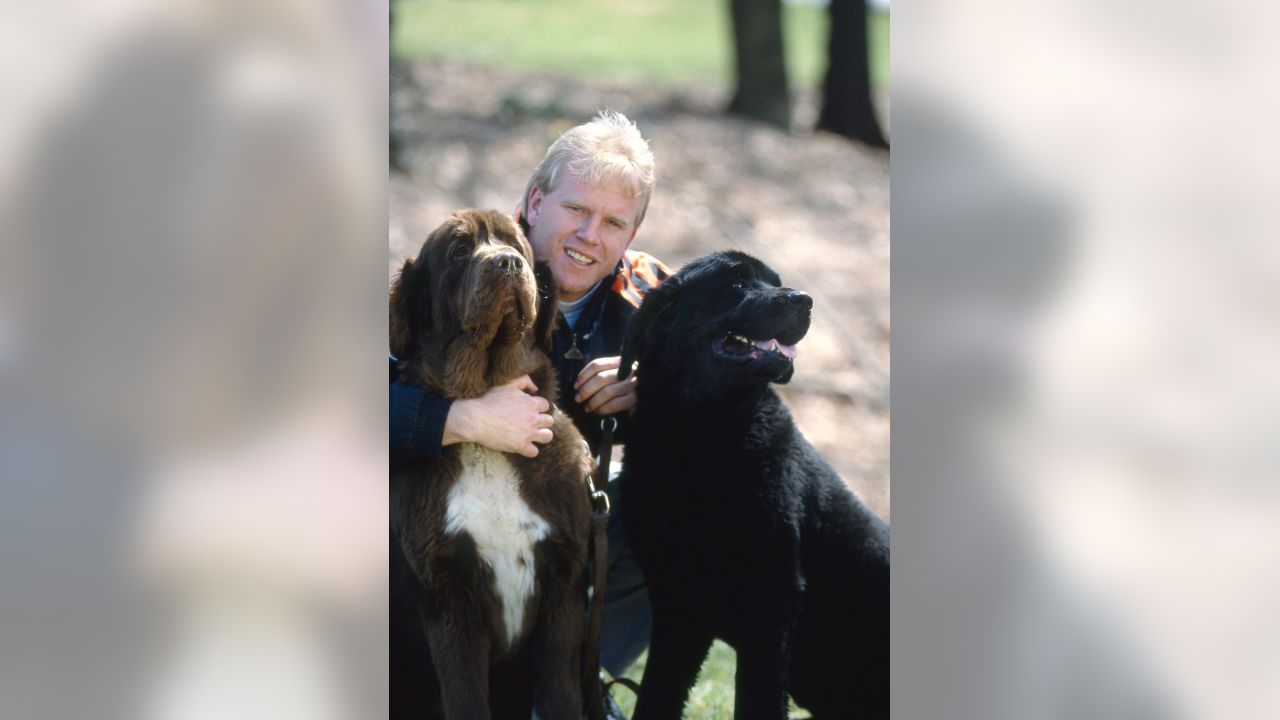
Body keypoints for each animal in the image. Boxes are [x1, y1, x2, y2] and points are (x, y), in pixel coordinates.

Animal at [389, 207, 593, 717]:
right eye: (460, 251)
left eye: (516, 246)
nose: (507, 264)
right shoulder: (449, 597)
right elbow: (465, 697)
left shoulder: (564, 587)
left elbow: (560, 693)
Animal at [614, 251, 885, 717]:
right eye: (737, 284)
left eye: (775, 282)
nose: (804, 300)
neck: (700, 441)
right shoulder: (678, 601)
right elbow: (657, 695)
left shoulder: (771, 600)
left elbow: (758, 698)